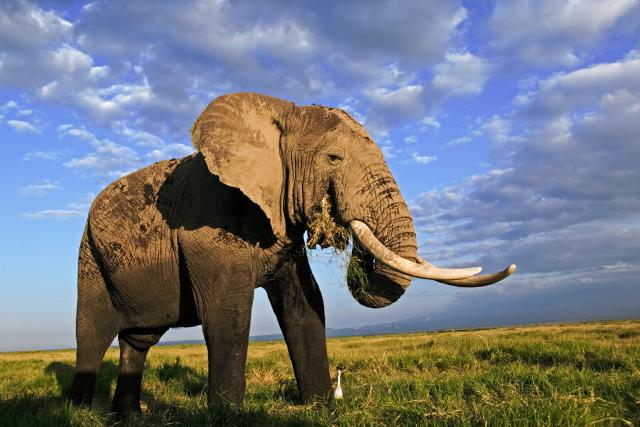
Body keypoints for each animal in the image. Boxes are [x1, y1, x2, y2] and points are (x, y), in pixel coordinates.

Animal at [69, 92, 515, 414]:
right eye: (334, 158)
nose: (338, 221)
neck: (277, 114)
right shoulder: (209, 222)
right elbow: (229, 314)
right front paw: (228, 416)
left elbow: (305, 304)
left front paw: (320, 408)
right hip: (88, 254)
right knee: (92, 333)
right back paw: (79, 413)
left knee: (138, 340)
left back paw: (127, 417)